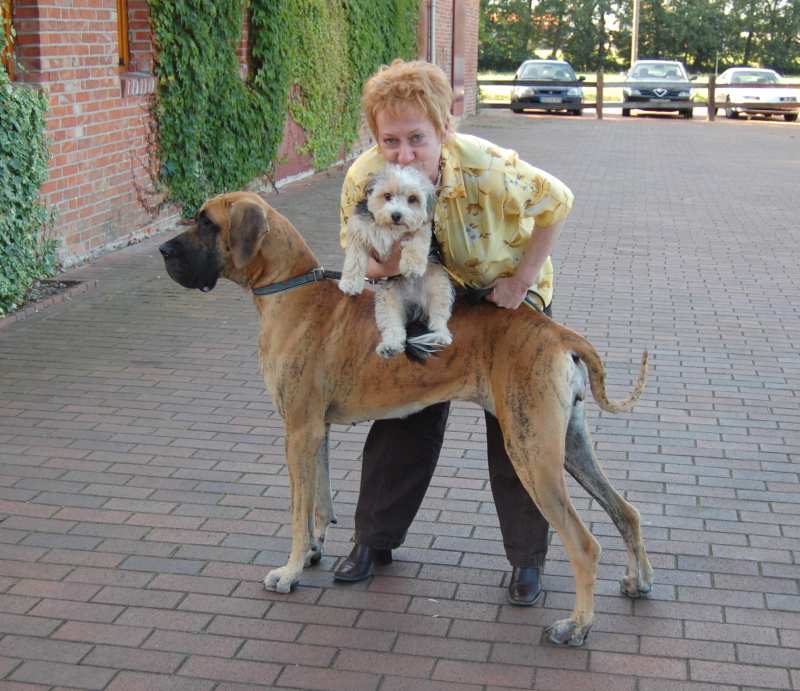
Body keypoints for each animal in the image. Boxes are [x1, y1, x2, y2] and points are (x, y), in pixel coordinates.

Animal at [159, 191, 654, 647]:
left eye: (206, 222)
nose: (163, 250)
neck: (292, 289)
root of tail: (557, 332)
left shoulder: (296, 432)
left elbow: (297, 509)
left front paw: (290, 571)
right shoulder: (315, 432)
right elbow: (319, 498)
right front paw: (315, 552)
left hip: (531, 451)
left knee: (584, 544)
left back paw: (576, 625)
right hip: (568, 444)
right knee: (626, 511)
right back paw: (639, 582)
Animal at [339, 164, 454, 358]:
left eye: (412, 199)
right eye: (387, 196)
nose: (396, 215)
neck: (390, 228)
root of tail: (414, 304)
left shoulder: (420, 230)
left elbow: (415, 244)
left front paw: (413, 266)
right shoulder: (358, 234)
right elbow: (354, 260)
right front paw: (350, 283)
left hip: (440, 289)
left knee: (438, 319)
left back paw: (440, 336)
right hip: (387, 302)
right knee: (394, 328)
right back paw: (390, 347)